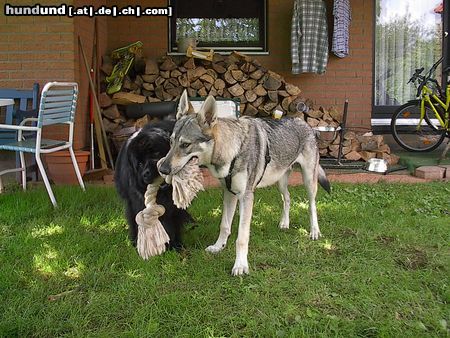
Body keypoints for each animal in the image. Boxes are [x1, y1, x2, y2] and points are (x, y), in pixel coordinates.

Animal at [114, 120, 192, 250]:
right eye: (140, 164)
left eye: (156, 153)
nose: (147, 173)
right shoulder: (138, 202)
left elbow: (174, 221)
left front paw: (176, 245)